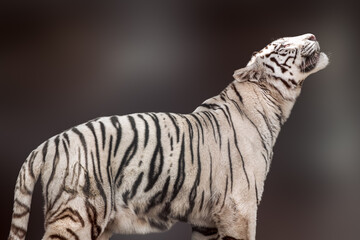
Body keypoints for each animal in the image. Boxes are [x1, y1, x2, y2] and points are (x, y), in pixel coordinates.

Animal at [8, 33, 330, 240]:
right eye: (285, 46)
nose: (313, 33)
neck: (272, 102)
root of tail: (48, 143)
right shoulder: (241, 208)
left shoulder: (207, 221)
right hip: (78, 215)